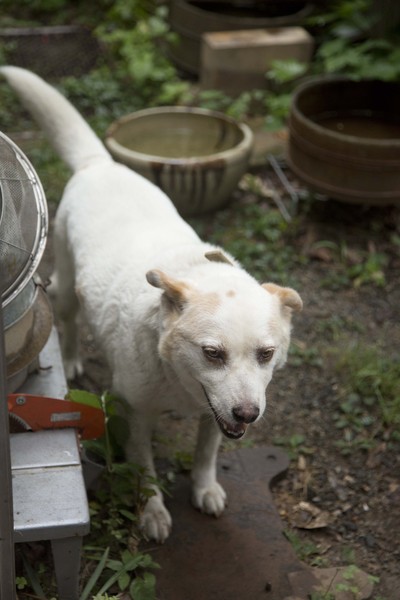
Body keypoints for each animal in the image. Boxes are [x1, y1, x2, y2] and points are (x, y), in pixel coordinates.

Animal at [0, 67, 304, 544]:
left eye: (267, 354)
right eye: (212, 353)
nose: (249, 414)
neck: (177, 379)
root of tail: (100, 164)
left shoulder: (214, 417)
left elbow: (206, 452)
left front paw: (204, 488)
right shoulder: (135, 416)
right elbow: (144, 470)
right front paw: (154, 512)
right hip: (63, 284)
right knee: (67, 318)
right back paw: (71, 358)